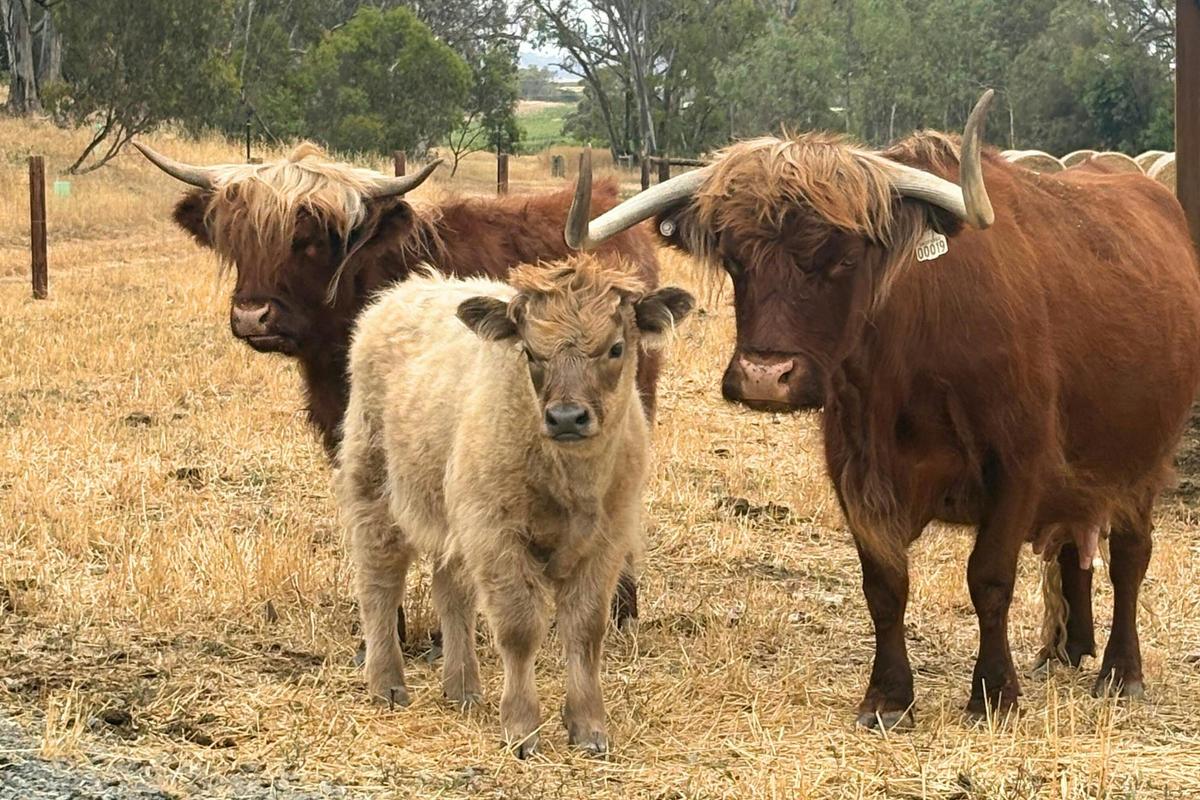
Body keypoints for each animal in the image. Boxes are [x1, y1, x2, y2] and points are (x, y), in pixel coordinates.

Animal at [336, 258, 693, 756]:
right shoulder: (496, 536)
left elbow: (585, 629)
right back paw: (387, 683)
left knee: (452, 593)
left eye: (616, 347)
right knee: (379, 583)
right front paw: (521, 727)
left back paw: (462, 688)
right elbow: (519, 628)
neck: (570, 481)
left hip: (454, 520)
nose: (566, 418)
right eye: (530, 352)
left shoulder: (605, 542)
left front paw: (588, 727)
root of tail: (405, 291)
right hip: (374, 489)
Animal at [563, 90, 1200, 728]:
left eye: (844, 258)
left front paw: (994, 693)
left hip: (1145, 463)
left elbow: (990, 578)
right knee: (1073, 550)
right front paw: (889, 697)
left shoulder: (1019, 465)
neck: (910, 361)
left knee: (1129, 558)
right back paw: (1066, 650)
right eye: (735, 258)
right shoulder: (857, 470)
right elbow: (885, 585)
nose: (765, 377)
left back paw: (1120, 672)